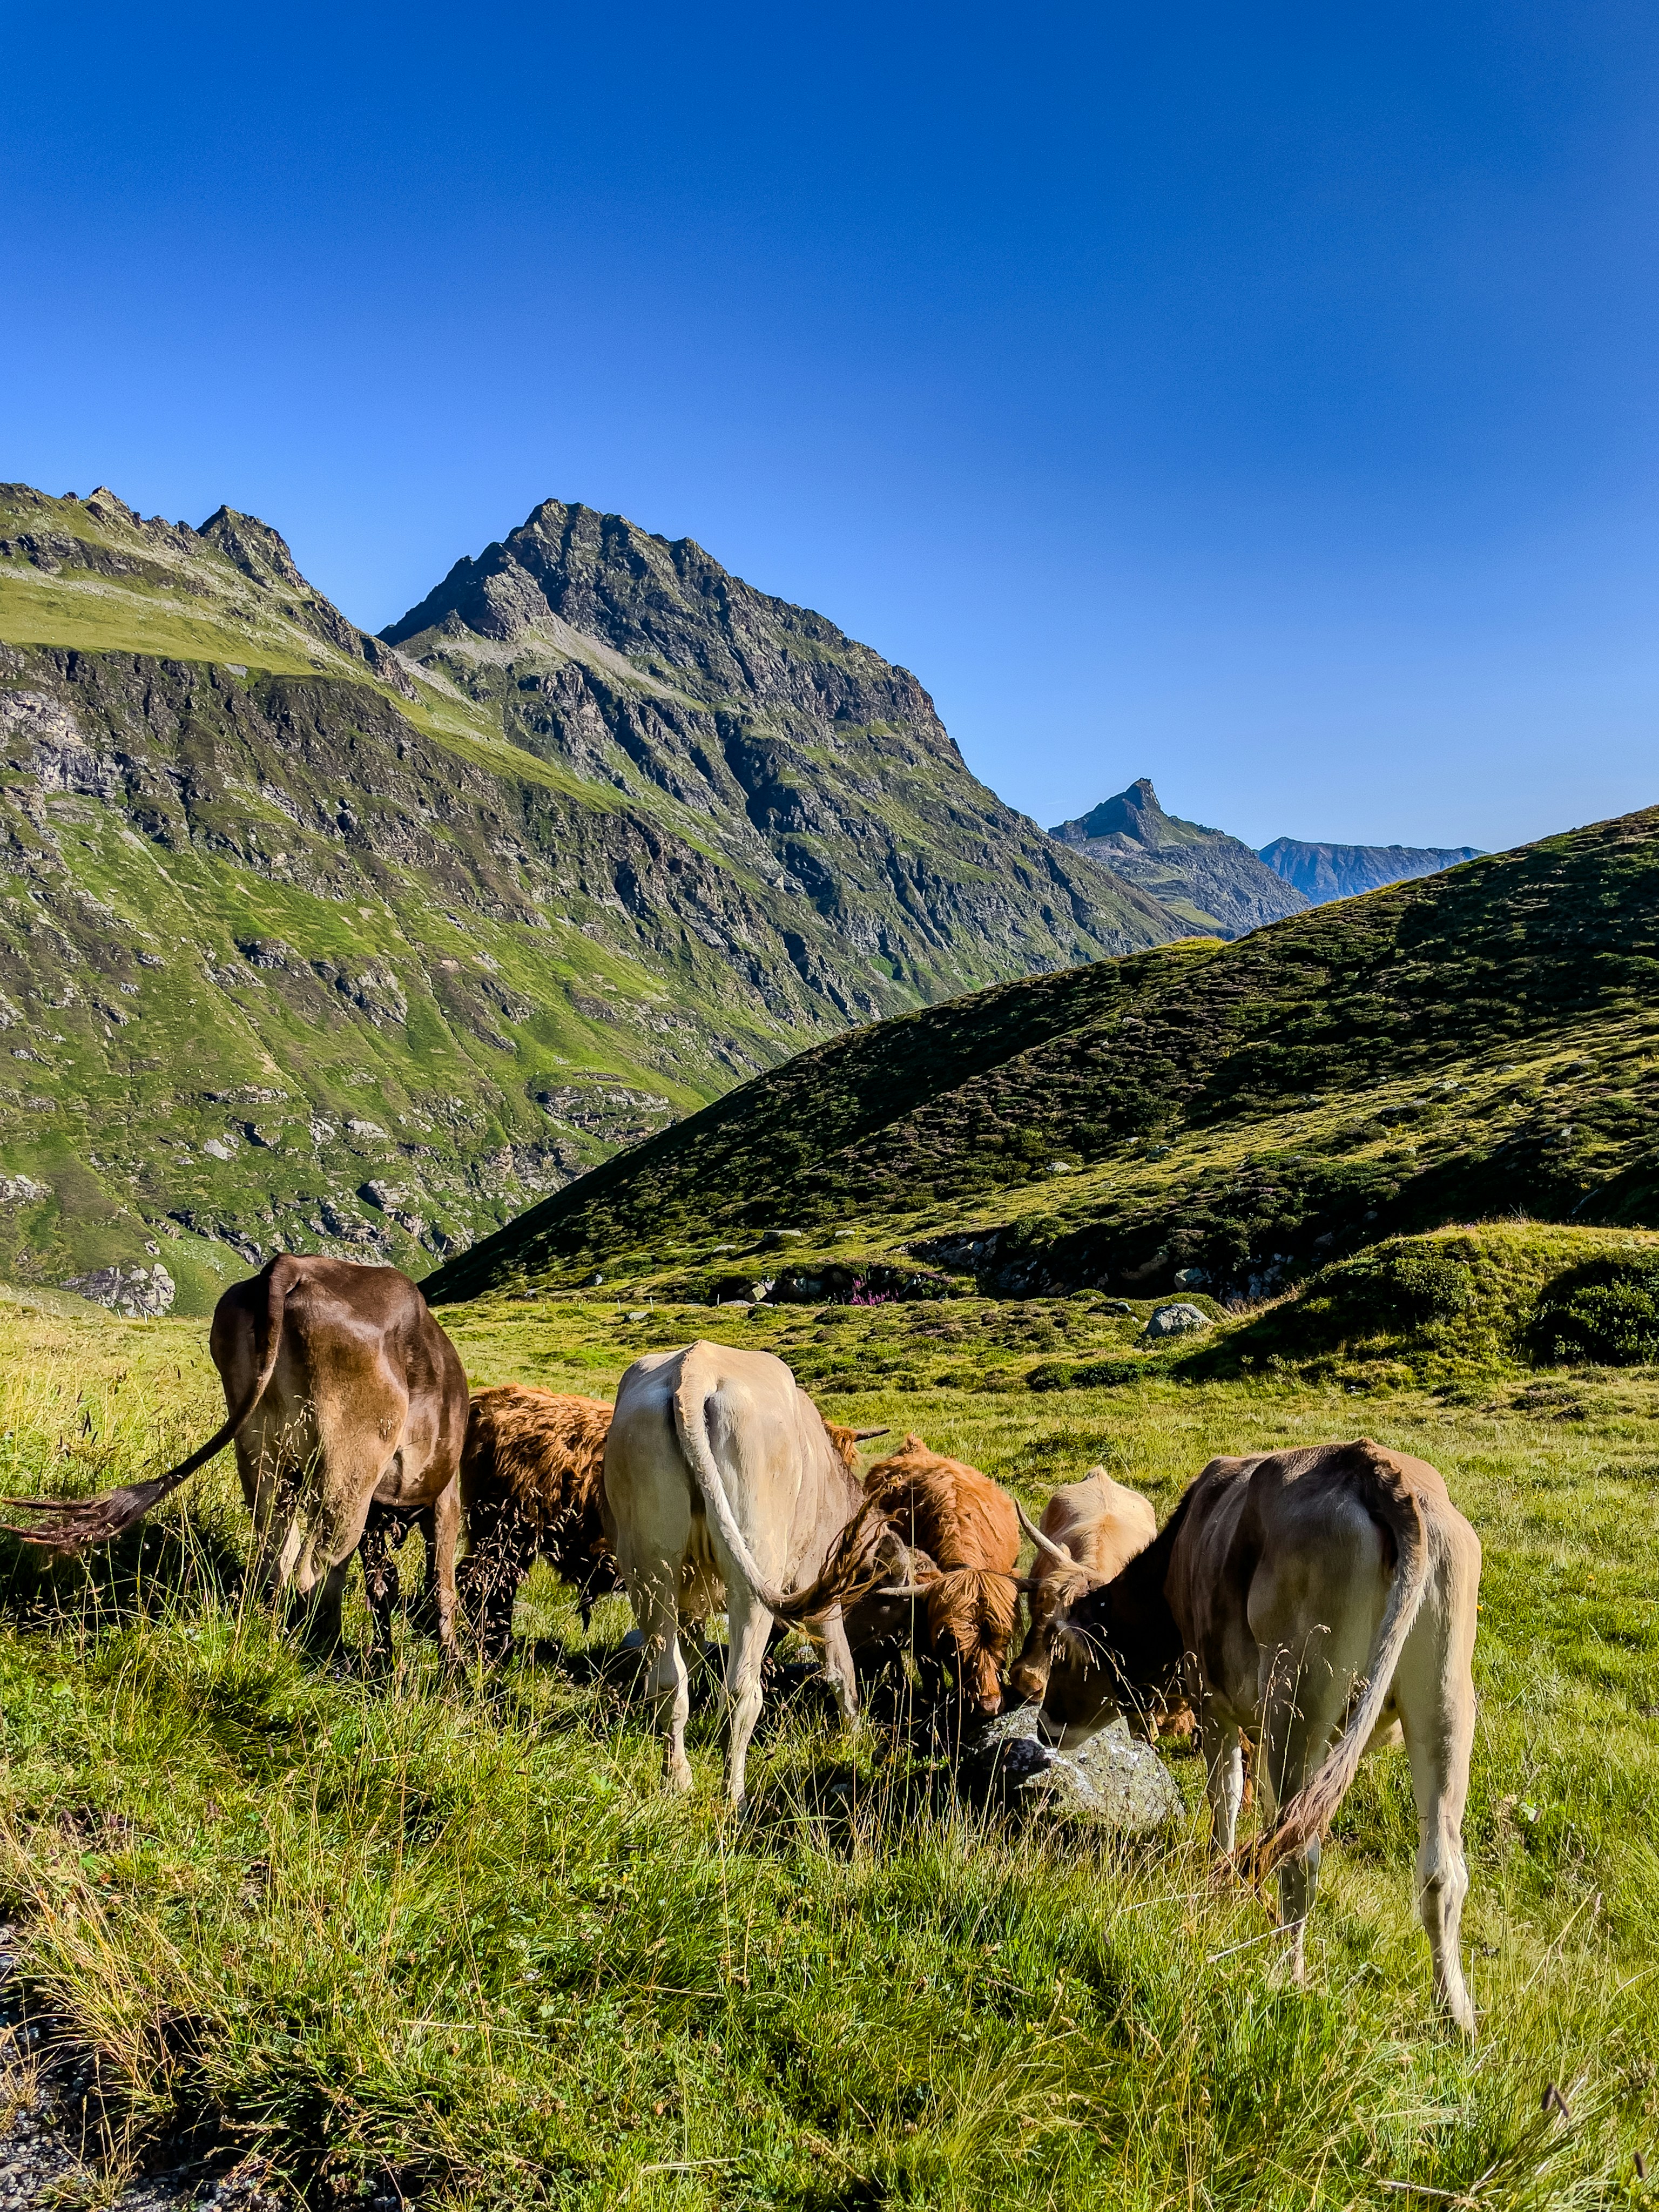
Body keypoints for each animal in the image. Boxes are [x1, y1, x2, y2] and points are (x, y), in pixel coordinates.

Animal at [4, 1254, 469, 1658]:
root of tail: (293, 1264)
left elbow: (383, 1587)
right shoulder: (446, 1496)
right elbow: (440, 1586)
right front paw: (452, 1667)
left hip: (260, 1453)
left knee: (276, 1551)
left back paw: (278, 1631)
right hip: (347, 1472)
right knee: (315, 1566)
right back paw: (326, 1655)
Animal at [602, 1340, 885, 1805]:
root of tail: (694, 1369)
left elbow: (692, 1656)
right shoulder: (814, 1579)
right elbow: (840, 1665)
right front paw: (854, 1738)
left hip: (649, 1562)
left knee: (667, 1679)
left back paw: (677, 1781)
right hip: (756, 1563)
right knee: (742, 1690)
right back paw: (732, 1796)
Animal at [1032, 1440, 1481, 2034]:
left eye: (1065, 1656)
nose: (1044, 1723)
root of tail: (1374, 1467)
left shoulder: (1212, 1701)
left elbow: (1224, 1796)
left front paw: (1219, 1880)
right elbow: (1262, 1806)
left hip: (1301, 1692)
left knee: (1300, 1852)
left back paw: (1288, 1974)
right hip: (1444, 1700)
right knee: (1440, 1869)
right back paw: (1455, 2013)